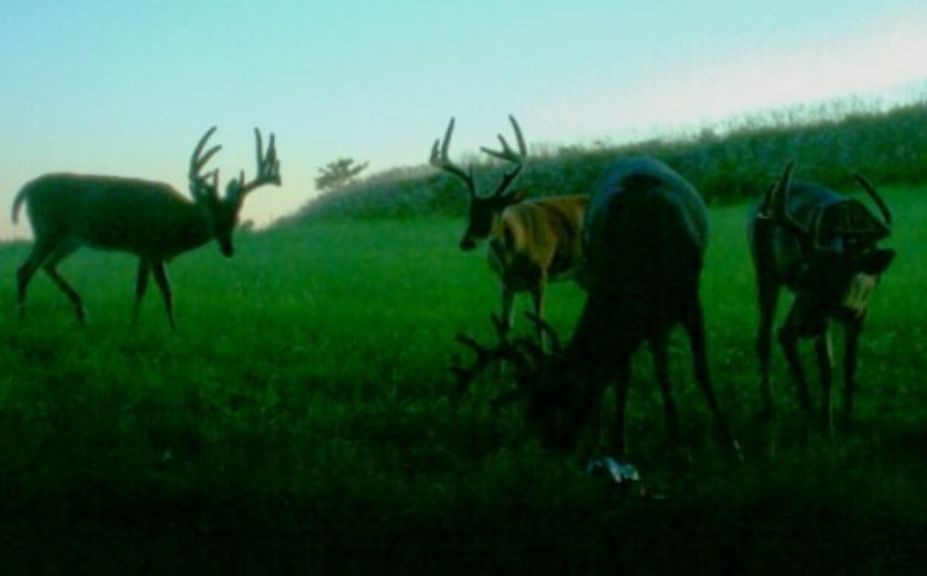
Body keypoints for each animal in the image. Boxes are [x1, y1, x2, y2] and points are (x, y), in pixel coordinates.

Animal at [12, 125, 280, 328]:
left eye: (235, 218)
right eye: (210, 215)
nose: (228, 249)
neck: (177, 221)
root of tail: (28, 187)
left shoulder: (145, 251)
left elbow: (147, 289)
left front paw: (141, 325)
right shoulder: (152, 246)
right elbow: (160, 290)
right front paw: (166, 328)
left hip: (71, 238)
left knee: (48, 265)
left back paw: (81, 311)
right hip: (48, 230)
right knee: (25, 269)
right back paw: (23, 318)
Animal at [430, 113, 588, 346]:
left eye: (495, 212)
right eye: (469, 212)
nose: (467, 242)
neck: (514, 259)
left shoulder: (540, 276)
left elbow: (539, 325)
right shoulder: (506, 284)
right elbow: (504, 327)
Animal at [454, 155, 736, 456]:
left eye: (561, 396)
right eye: (532, 404)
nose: (553, 443)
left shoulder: (688, 298)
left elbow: (700, 370)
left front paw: (726, 440)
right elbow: (628, 372)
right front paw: (621, 440)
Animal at [752, 161, 896, 432]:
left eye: (834, 282)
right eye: (806, 276)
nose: (803, 328)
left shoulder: (861, 311)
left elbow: (850, 364)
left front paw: (848, 416)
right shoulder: (820, 316)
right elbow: (826, 369)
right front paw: (827, 426)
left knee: (782, 335)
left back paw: (805, 402)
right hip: (767, 273)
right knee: (767, 337)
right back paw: (768, 407)